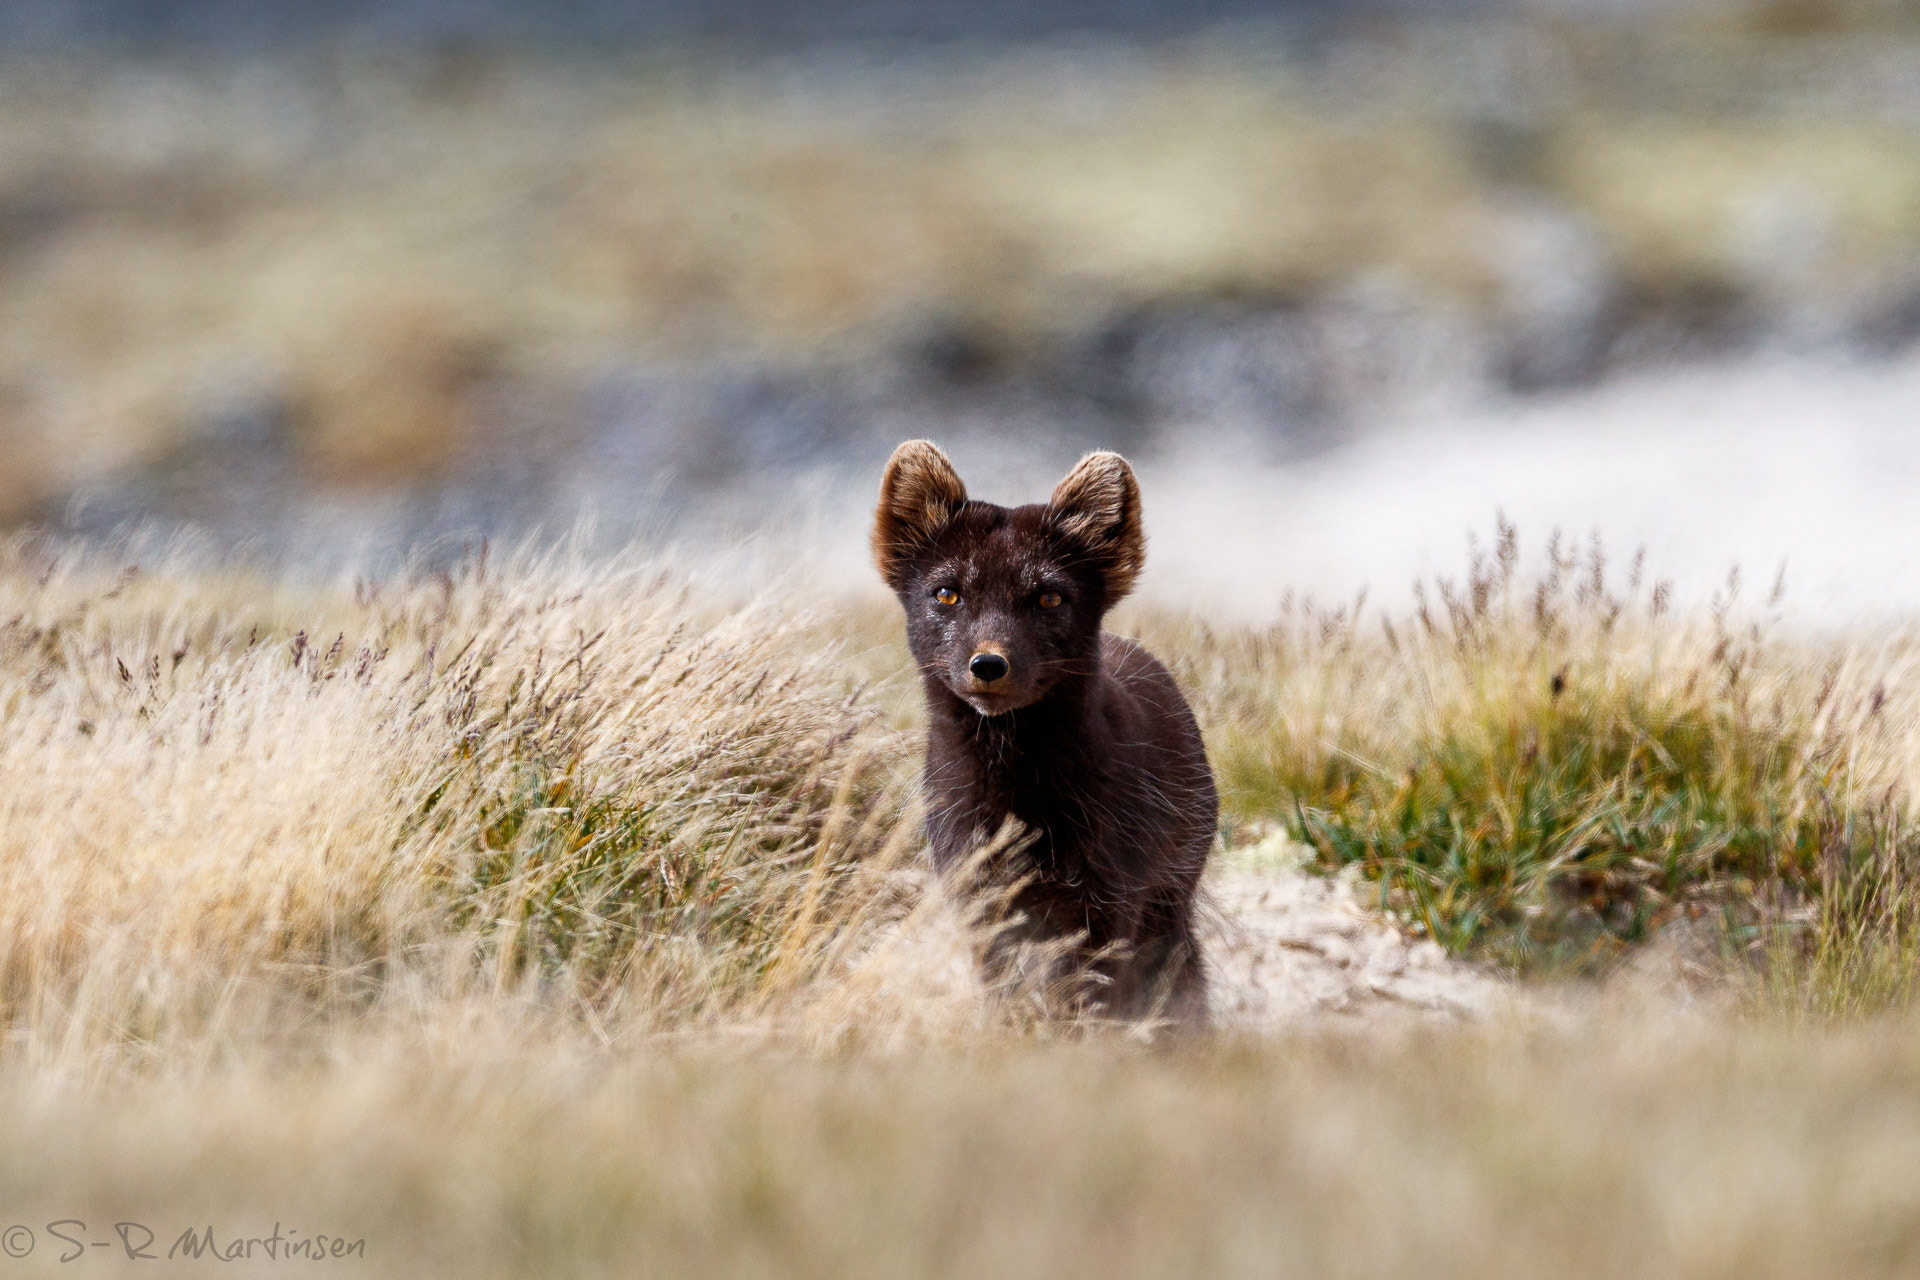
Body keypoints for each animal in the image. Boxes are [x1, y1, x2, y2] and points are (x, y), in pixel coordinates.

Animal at [871, 441, 1213, 1020]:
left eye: (1050, 597)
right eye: (946, 593)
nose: (989, 663)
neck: (1018, 803)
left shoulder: (1108, 897)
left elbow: (1093, 993)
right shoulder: (974, 887)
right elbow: (1001, 984)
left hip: (1168, 894)